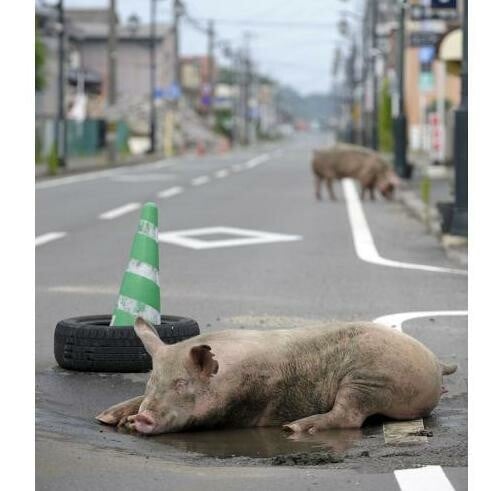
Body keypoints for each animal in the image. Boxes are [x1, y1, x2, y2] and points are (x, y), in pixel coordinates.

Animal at [97, 318, 456, 436]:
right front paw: (108, 418)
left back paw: (295, 428)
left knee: (351, 416)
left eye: (181, 384)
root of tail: (435, 362)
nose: (143, 419)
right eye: (150, 381)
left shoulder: (241, 408)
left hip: (369, 379)